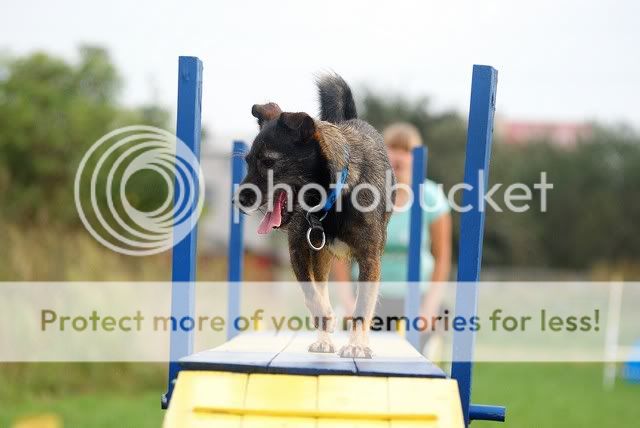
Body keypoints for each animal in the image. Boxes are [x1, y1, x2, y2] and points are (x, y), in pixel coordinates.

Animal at [234, 73, 395, 358]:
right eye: (248, 161)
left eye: (269, 162)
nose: (238, 200)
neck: (334, 196)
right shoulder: (299, 248)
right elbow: (311, 294)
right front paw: (326, 318)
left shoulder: (369, 257)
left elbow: (362, 306)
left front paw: (356, 344)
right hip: (321, 257)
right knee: (320, 287)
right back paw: (324, 338)